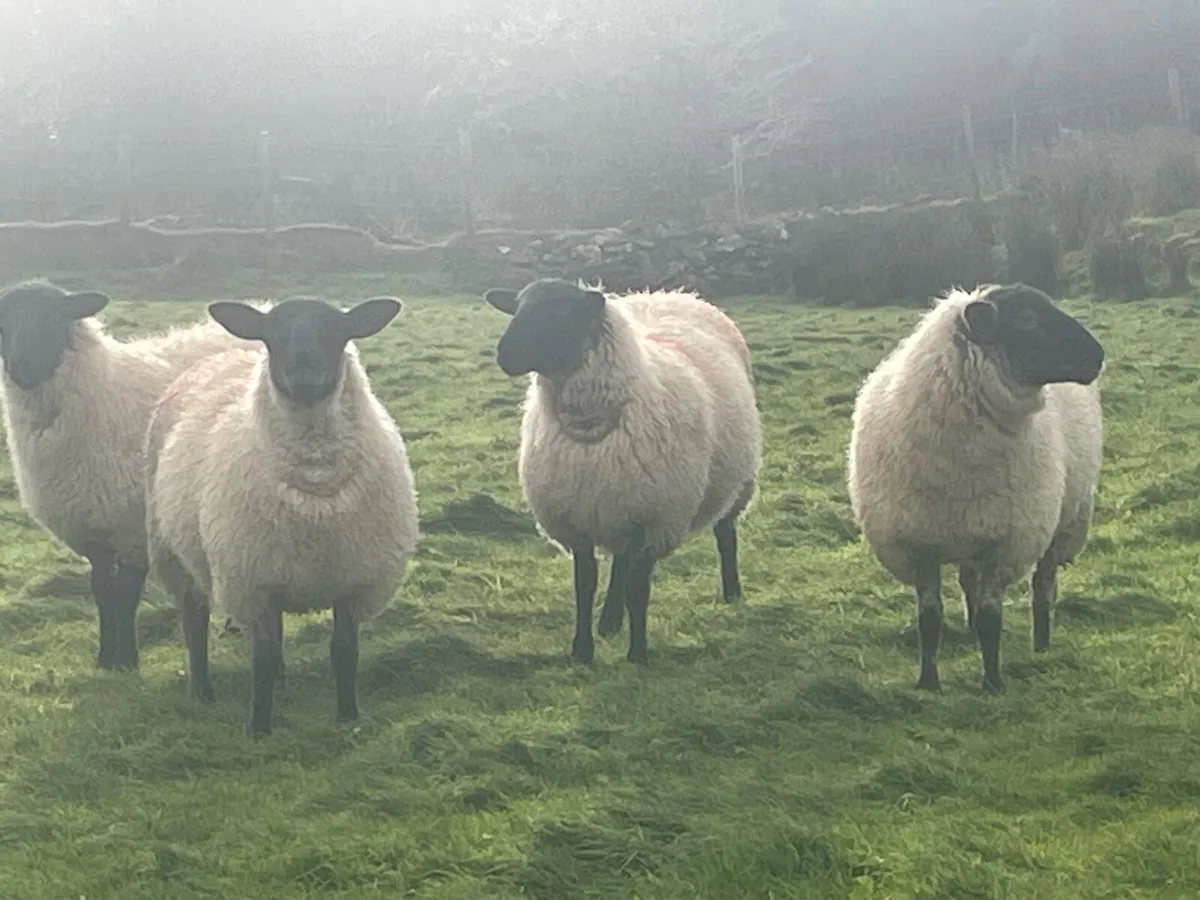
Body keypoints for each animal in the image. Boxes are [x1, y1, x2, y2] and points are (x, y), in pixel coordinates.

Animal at [0, 279, 257, 671]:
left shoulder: (133, 527)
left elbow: (126, 593)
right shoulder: (92, 527)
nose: (22, 368)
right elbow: (102, 590)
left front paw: (127, 660)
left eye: (53, 316)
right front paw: (106, 659)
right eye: (5, 322)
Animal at [144, 296, 417, 735]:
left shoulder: (350, 581)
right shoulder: (255, 584)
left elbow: (344, 651)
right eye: (272, 334)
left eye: (337, 330)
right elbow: (264, 658)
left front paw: (348, 717)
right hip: (174, 551)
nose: (304, 368)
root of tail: (222, 355)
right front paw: (258, 728)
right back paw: (202, 691)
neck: (316, 490)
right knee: (194, 622)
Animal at [483, 277, 761, 665]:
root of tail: (670, 295)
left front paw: (638, 655)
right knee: (619, 563)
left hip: (736, 483)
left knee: (724, 534)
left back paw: (732, 591)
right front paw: (582, 651)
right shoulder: (577, 519)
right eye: (518, 306)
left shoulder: (652, 521)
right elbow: (585, 586)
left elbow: (638, 590)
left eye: (562, 310)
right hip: (615, 503)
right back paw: (610, 621)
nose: (504, 353)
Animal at [846, 283, 1105, 693]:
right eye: (1026, 318)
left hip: (1063, 520)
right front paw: (928, 683)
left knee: (1043, 584)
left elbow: (990, 618)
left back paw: (1042, 644)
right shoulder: (919, 547)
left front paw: (993, 682)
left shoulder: (1003, 546)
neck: (959, 465)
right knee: (970, 582)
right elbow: (929, 620)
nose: (1097, 356)